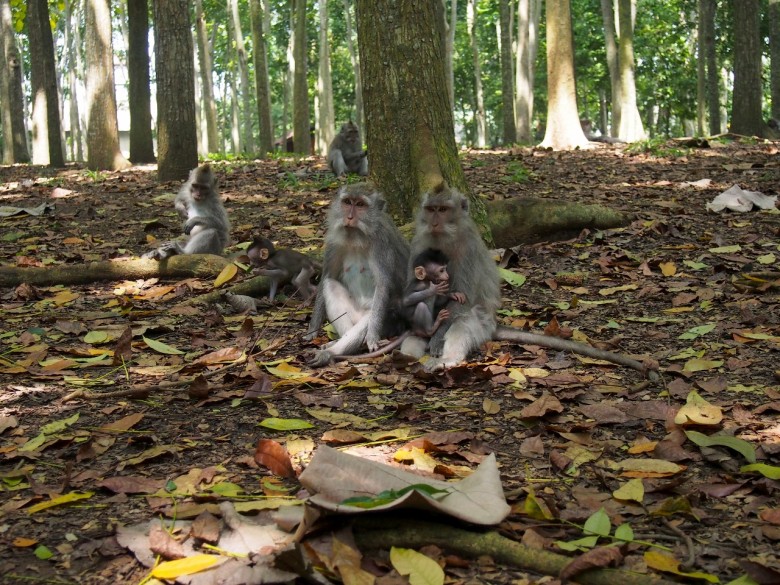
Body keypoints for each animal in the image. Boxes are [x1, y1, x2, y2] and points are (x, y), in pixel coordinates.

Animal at [306, 182, 412, 364]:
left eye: (361, 205)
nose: (349, 217)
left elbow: (383, 285)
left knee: (369, 318)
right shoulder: (334, 241)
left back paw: (331, 353)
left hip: (390, 319)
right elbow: (328, 276)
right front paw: (312, 329)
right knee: (331, 286)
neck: (357, 238)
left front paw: (372, 337)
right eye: (348, 202)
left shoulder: (381, 244)